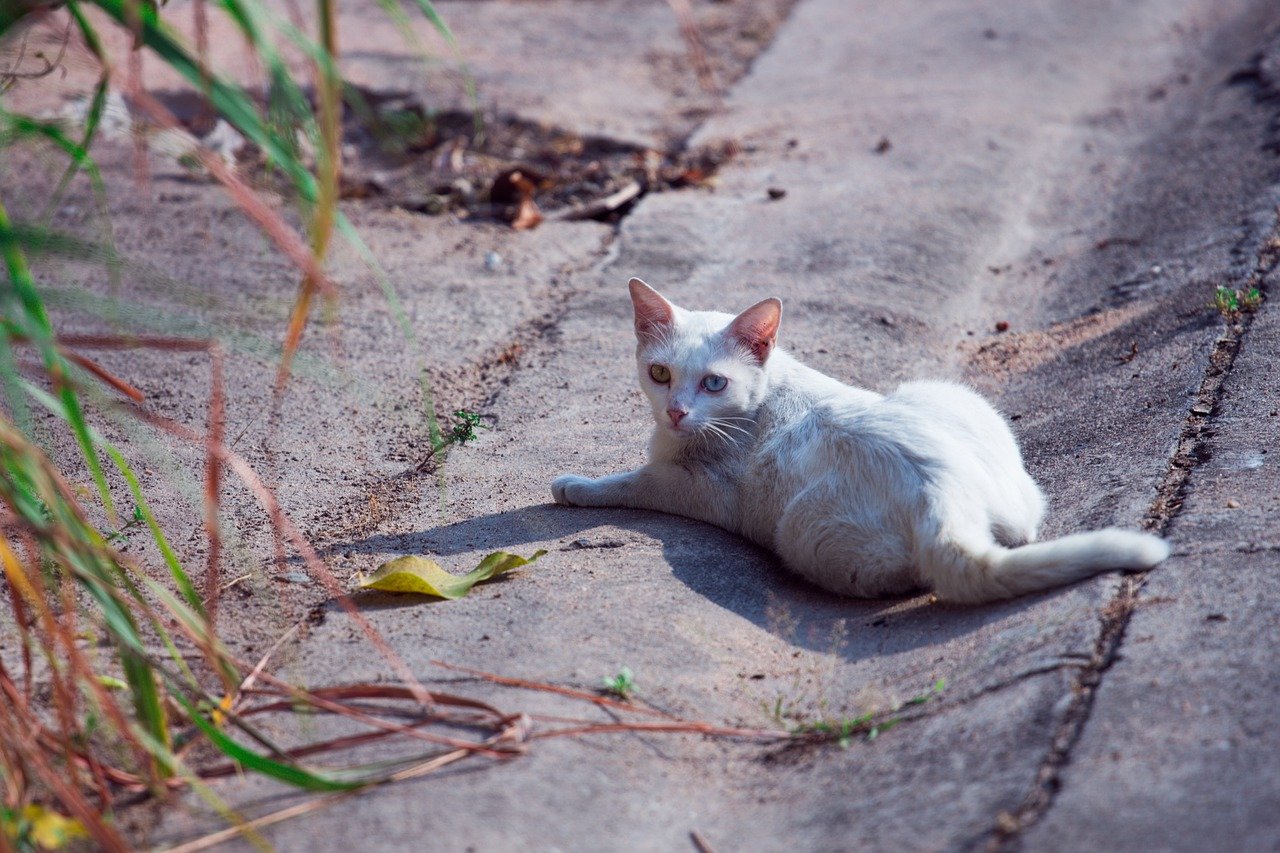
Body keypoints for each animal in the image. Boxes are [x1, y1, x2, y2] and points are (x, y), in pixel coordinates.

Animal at [550, 277, 1172, 596]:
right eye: (659, 373)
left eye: (714, 383)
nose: (677, 412)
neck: (760, 396)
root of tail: (943, 491)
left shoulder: (698, 489)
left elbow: (634, 481)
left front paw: (575, 487)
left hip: (799, 530)